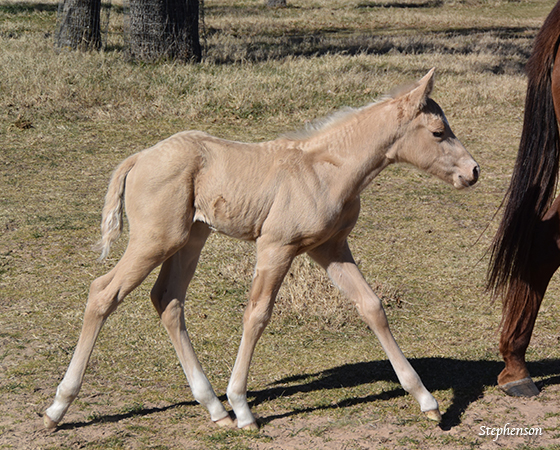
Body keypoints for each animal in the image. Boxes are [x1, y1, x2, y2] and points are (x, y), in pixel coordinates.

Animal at [46, 69, 480, 428]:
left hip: (190, 239)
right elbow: (257, 315)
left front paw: (427, 401)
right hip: (155, 240)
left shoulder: (330, 248)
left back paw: (213, 407)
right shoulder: (276, 247)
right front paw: (242, 407)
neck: (326, 170)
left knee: (167, 300)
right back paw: (58, 408)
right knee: (103, 293)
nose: (473, 172)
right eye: (438, 133)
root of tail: (138, 158)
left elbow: (371, 306)